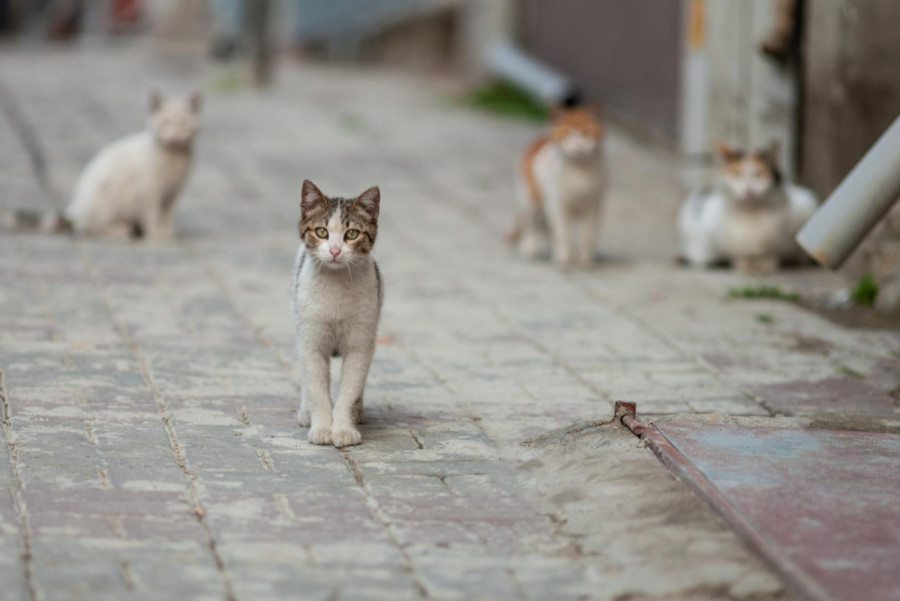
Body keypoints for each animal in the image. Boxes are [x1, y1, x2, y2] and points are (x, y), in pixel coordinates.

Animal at [1, 89, 201, 239]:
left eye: (184, 123)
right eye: (165, 123)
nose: (174, 138)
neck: (175, 159)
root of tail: (74, 208)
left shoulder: (173, 193)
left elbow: (167, 216)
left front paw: (167, 233)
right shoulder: (148, 191)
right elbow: (151, 215)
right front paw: (156, 236)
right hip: (105, 201)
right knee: (87, 228)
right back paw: (121, 229)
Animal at [292, 180, 384, 448]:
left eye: (351, 234)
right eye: (322, 232)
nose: (334, 251)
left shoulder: (360, 343)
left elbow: (349, 390)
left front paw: (343, 428)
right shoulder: (311, 340)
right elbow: (316, 387)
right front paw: (322, 427)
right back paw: (305, 412)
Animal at [506, 106, 604, 266]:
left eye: (586, 134)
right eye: (567, 135)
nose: (578, 147)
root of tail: (538, 140)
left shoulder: (592, 206)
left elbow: (585, 235)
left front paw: (584, 260)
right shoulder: (558, 205)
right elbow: (562, 233)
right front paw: (563, 258)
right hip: (530, 201)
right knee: (531, 226)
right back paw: (531, 247)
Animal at [680, 141, 820, 272]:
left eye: (758, 175)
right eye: (737, 175)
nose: (748, 190)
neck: (750, 212)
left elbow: (772, 253)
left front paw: (767, 264)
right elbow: (737, 253)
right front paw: (742, 264)